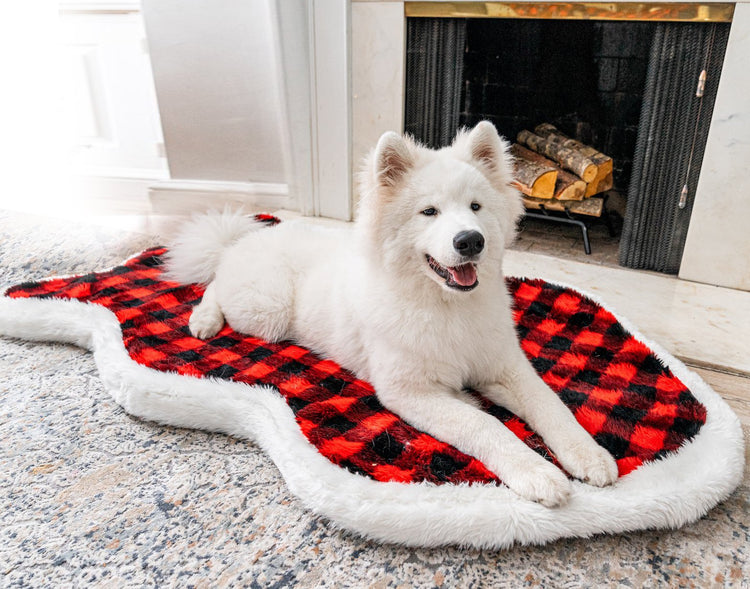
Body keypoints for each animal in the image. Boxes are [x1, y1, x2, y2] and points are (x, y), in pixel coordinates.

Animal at [167, 120, 620, 506]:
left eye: (475, 207)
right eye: (429, 212)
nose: (470, 241)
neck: (445, 307)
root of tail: (244, 238)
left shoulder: (504, 367)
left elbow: (551, 404)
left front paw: (589, 455)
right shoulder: (409, 391)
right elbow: (485, 425)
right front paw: (537, 473)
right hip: (266, 311)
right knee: (214, 284)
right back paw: (204, 320)